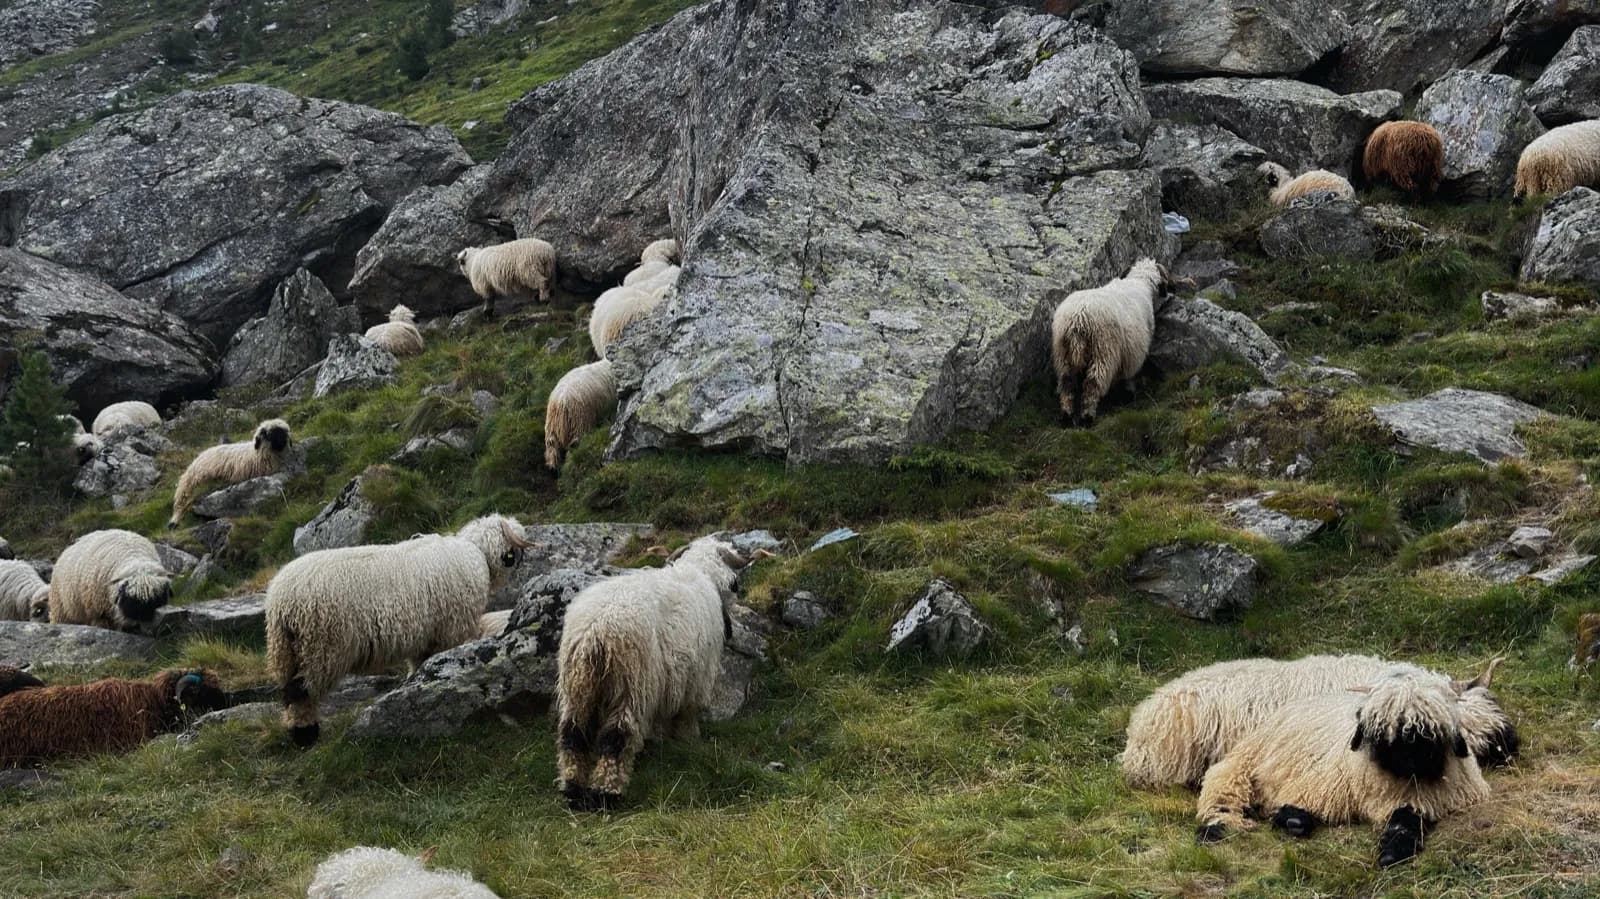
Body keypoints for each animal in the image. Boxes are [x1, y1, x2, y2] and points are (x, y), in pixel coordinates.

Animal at [266, 515, 532, 747]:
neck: (476, 553)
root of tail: (281, 600)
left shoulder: (425, 638)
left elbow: (419, 666)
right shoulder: (451, 631)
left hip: (286, 651)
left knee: (289, 692)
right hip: (319, 648)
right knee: (301, 694)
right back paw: (305, 734)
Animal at [555, 534, 769, 810]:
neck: (699, 573)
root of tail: (596, 632)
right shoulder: (696, 678)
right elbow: (687, 713)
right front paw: (689, 739)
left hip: (577, 686)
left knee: (572, 734)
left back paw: (572, 789)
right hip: (632, 684)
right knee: (617, 737)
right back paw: (607, 792)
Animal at [1050, 258, 1174, 424]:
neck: (1139, 282)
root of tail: (1078, 319)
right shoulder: (1133, 354)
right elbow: (1128, 377)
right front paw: (1128, 394)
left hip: (1063, 355)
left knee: (1067, 384)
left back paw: (1066, 417)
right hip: (1103, 352)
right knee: (1092, 384)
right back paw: (1087, 417)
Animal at [1194, 666, 1491, 867]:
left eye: (1429, 729)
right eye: (1381, 728)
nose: (1409, 761)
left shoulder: (1425, 798)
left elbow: (1405, 821)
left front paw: (1392, 852)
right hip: (1243, 763)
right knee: (1222, 795)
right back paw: (1219, 828)